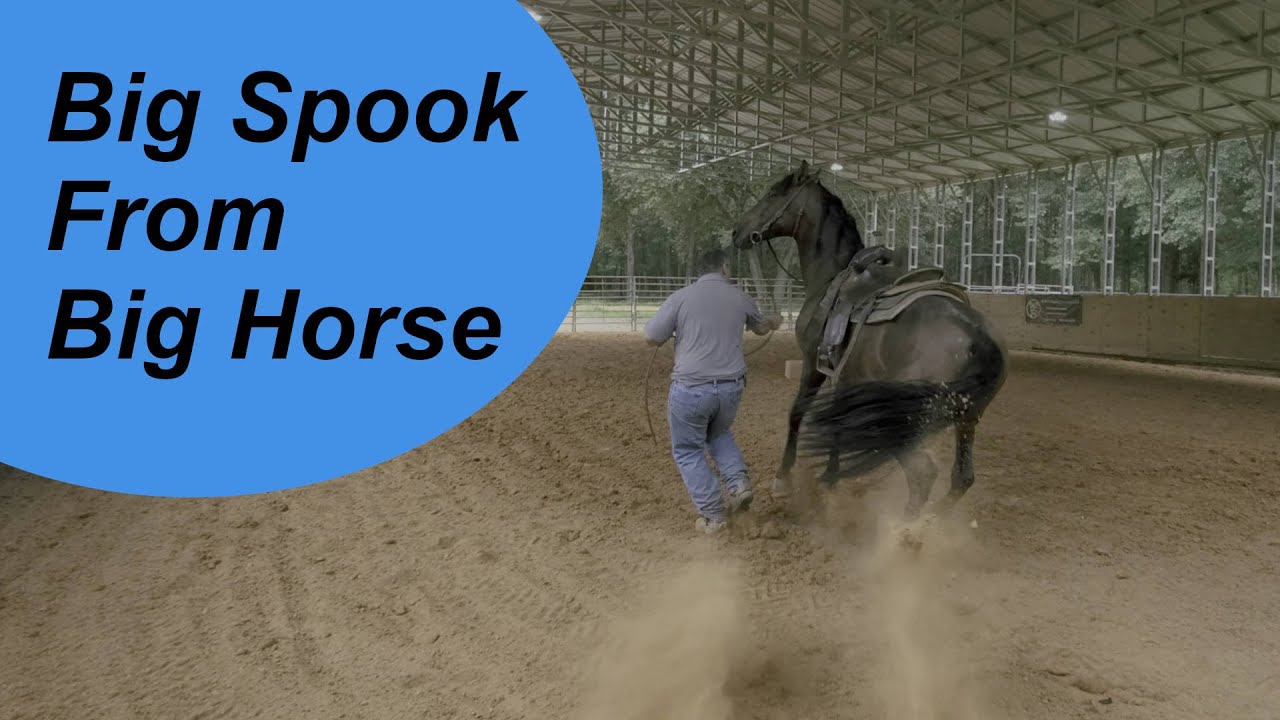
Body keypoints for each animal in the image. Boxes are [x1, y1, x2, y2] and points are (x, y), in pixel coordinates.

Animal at [730, 161, 1008, 519]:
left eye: (772, 193)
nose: (737, 231)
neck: (831, 277)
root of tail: (979, 340)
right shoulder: (847, 376)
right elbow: (837, 422)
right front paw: (829, 476)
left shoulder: (813, 365)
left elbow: (797, 411)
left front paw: (783, 479)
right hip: (966, 418)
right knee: (961, 478)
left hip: (904, 420)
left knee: (923, 474)